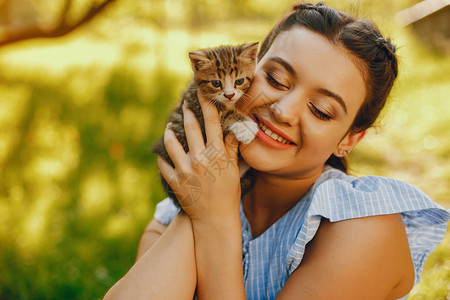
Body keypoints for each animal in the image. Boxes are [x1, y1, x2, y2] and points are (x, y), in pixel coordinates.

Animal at [152, 42, 258, 209]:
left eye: (239, 81)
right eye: (216, 83)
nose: (229, 95)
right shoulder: (197, 107)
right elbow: (225, 115)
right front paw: (245, 125)